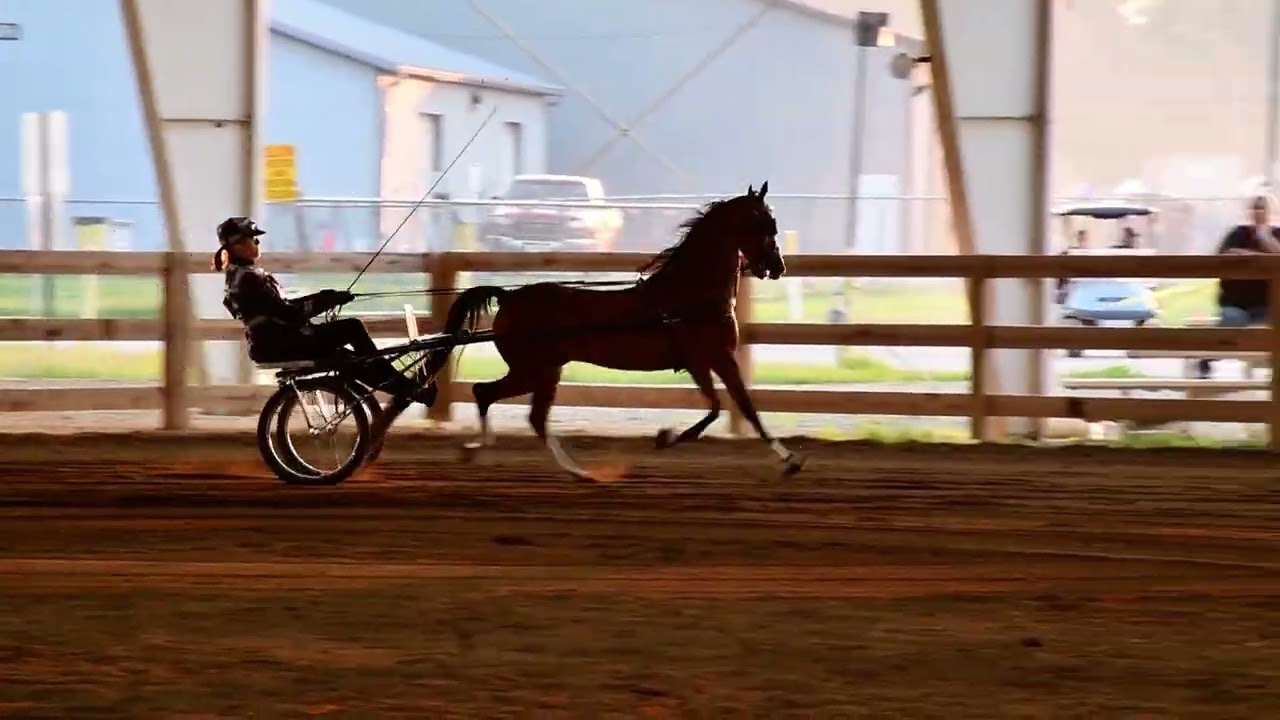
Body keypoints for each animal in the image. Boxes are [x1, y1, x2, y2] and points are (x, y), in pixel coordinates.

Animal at [369, 181, 804, 481]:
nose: (778, 266)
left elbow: (732, 406)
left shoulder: (708, 362)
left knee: (508, 405)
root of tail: (510, 297)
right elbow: (733, 407)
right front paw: (669, 437)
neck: (690, 293)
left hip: (542, 371)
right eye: (764, 224)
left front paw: (786, 458)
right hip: (536, 370)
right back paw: (545, 462)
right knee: (498, 400)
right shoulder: (711, 358)